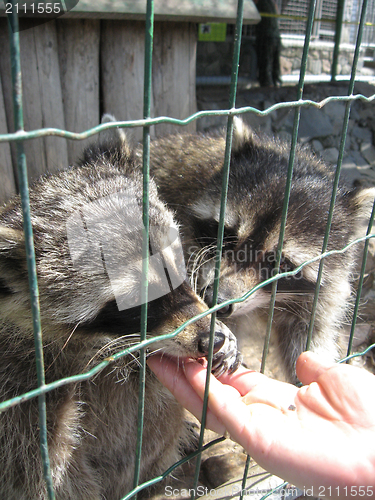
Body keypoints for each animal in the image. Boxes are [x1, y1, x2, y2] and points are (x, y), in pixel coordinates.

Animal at [0, 131, 241, 498]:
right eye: (131, 298)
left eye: (176, 260)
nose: (209, 338)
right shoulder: (17, 389)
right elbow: (41, 472)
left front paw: (223, 333)